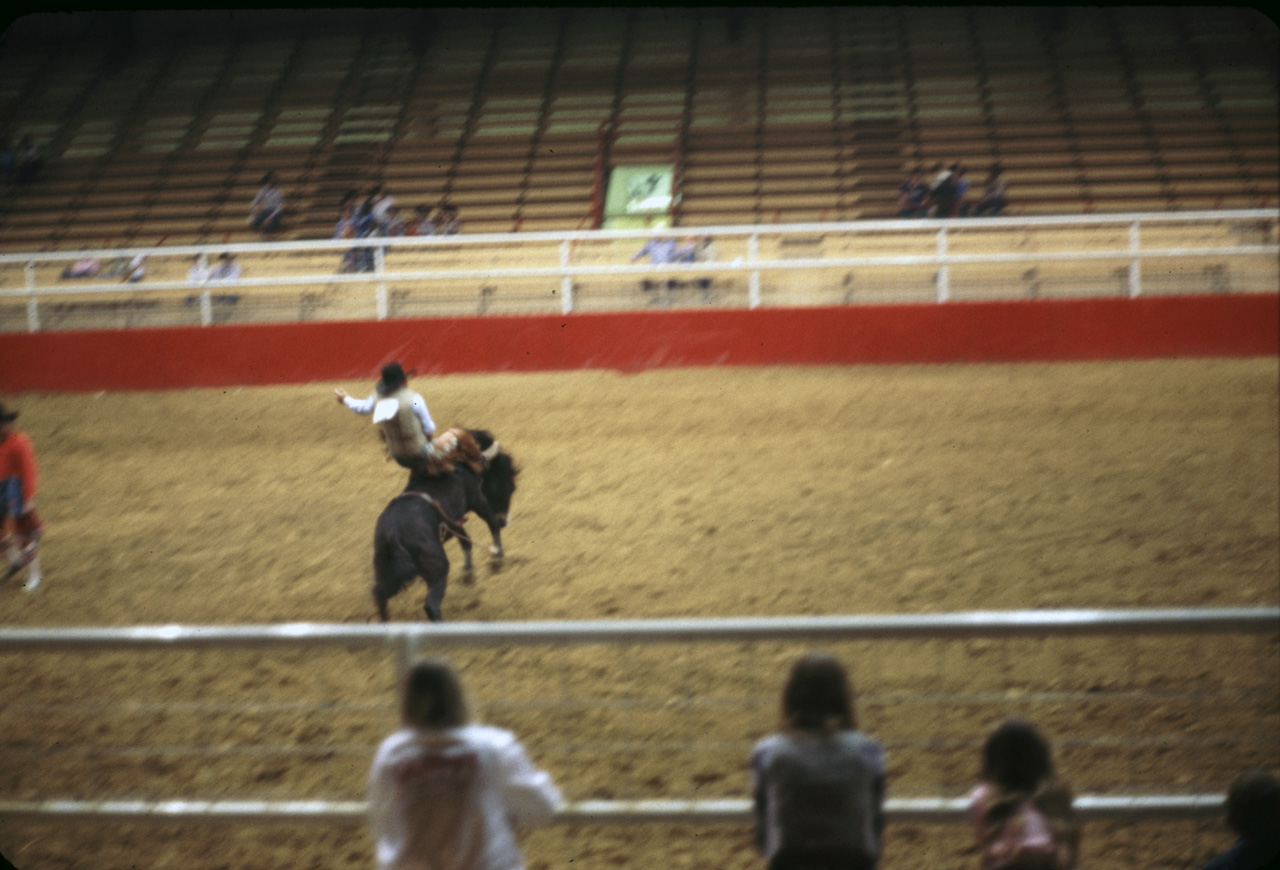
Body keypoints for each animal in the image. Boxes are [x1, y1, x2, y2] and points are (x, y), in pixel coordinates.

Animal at [371, 427, 514, 619]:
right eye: (507, 484)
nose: (504, 520)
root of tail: (393, 534)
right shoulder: (476, 498)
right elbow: (490, 523)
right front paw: (497, 558)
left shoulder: (453, 520)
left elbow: (466, 540)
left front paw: (468, 573)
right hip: (437, 566)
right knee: (431, 605)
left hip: (386, 571)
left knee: (379, 594)